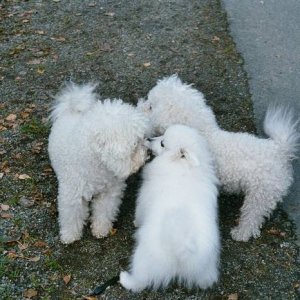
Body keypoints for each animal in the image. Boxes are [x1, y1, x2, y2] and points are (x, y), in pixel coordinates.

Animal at [48, 82, 150, 244]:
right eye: (135, 143)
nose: (148, 151)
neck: (98, 166)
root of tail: (72, 107)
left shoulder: (109, 193)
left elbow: (104, 212)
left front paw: (101, 229)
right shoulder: (72, 196)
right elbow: (71, 216)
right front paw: (69, 235)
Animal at [119, 123, 220, 290]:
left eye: (162, 144)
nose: (149, 138)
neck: (182, 166)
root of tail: (181, 248)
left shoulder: (144, 197)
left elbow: (139, 212)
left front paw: (136, 222)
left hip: (143, 258)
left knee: (140, 281)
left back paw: (125, 279)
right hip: (205, 268)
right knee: (207, 280)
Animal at [137, 75, 298, 241]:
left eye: (150, 106)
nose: (138, 105)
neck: (204, 134)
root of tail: (280, 150)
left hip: (262, 193)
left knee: (253, 215)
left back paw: (241, 233)